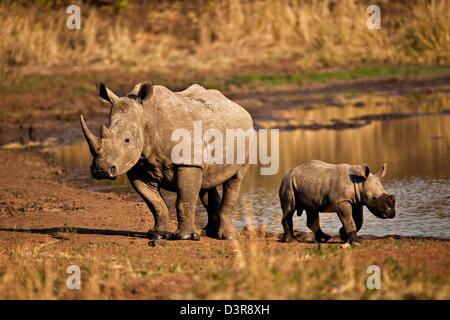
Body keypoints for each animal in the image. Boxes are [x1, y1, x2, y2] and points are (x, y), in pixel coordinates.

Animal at [79, 82, 251, 240]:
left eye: (127, 140)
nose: (102, 170)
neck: (147, 117)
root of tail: (238, 106)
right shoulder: (138, 167)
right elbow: (155, 203)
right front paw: (158, 235)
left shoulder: (187, 161)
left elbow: (184, 200)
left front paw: (185, 237)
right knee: (207, 181)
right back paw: (209, 233)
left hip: (248, 134)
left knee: (235, 179)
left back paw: (228, 237)